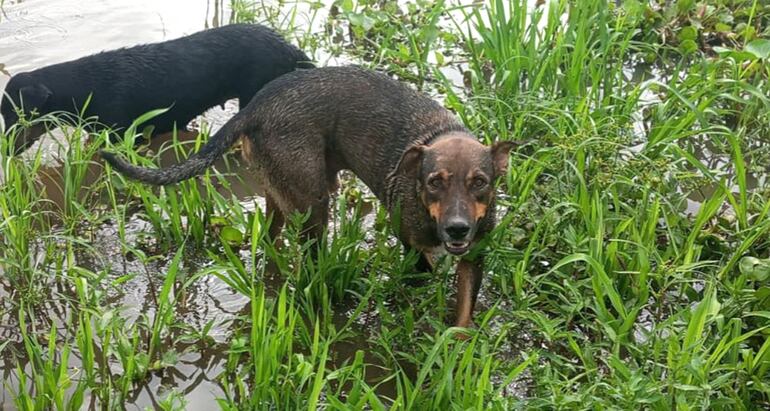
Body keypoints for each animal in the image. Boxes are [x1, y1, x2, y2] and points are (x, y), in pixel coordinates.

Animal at [100, 67, 510, 332]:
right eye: (434, 182)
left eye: (480, 182)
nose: (457, 230)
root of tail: (255, 107)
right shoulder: (411, 247)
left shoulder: (474, 257)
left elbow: (464, 311)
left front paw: (459, 347)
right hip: (313, 203)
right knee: (311, 258)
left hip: (280, 194)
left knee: (270, 239)